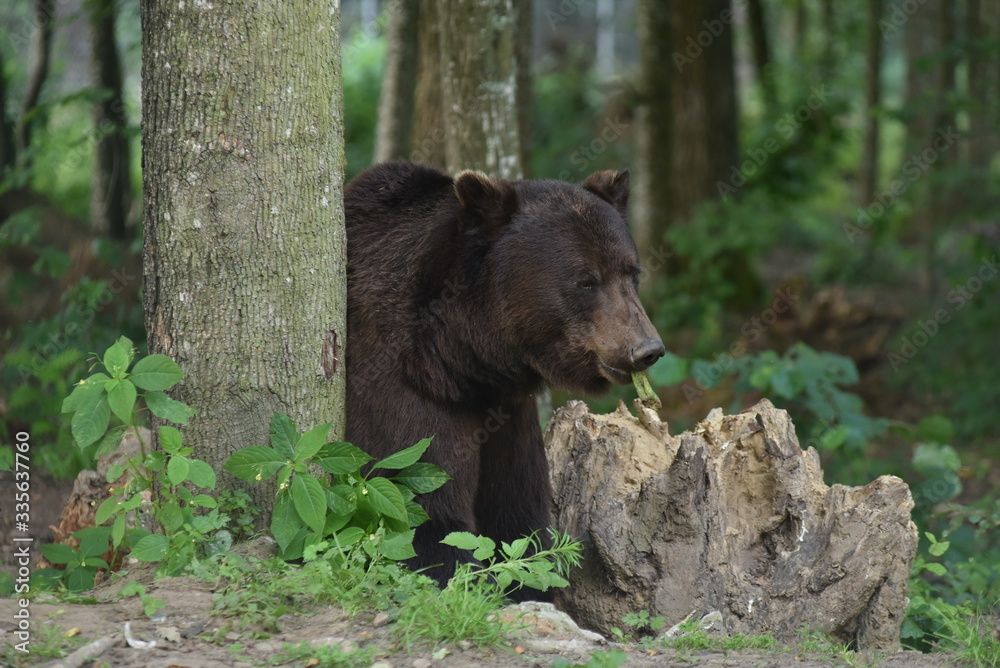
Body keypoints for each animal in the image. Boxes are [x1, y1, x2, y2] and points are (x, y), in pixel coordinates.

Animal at [344, 160, 664, 596]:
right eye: (585, 280)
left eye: (632, 272)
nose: (647, 348)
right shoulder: (398, 390)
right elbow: (422, 512)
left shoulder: (507, 413)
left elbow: (518, 519)